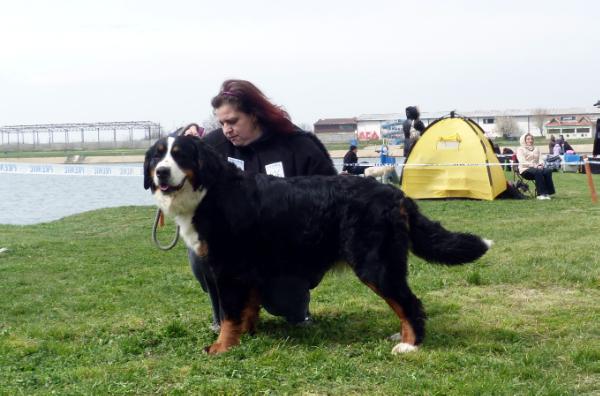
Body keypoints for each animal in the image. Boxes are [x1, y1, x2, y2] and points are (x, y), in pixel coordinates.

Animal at [144, 136, 492, 356]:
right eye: (158, 155)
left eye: (180, 154)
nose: (160, 172)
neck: (211, 190)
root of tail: (395, 194)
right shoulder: (248, 270)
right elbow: (247, 309)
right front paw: (248, 334)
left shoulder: (228, 269)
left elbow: (230, 314)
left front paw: (222, 347)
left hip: (375, 264)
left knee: (410, 303)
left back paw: (409, 344)